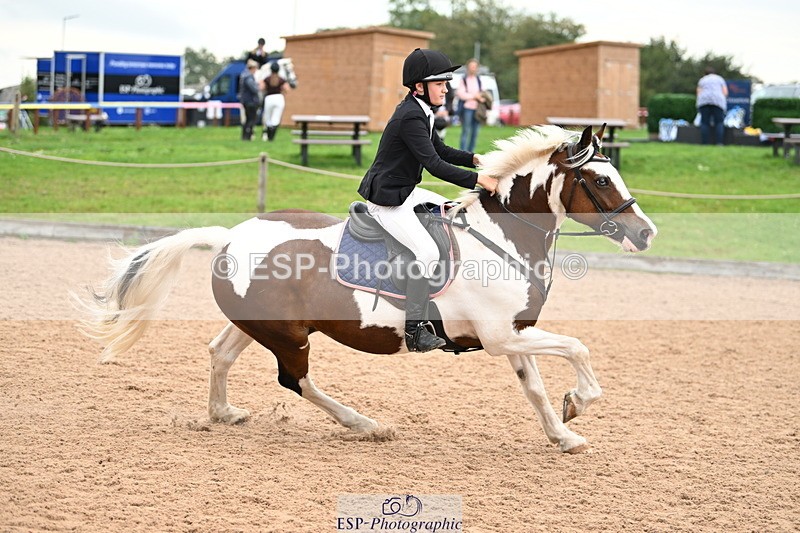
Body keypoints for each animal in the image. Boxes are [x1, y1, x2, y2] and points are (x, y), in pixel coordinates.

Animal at [79, 125, 656, 454]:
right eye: (601, 181)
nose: (646, 233)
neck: (501, 237)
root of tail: (230, 236)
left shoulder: (513, 334)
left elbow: (534, 388)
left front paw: (564, 434)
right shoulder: (498, 336)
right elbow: (578, 348)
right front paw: (579, 401)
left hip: (261, 324)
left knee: (221, 352)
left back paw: (224, 414)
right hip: (290, 336)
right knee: (296, 381)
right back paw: (367, 425)